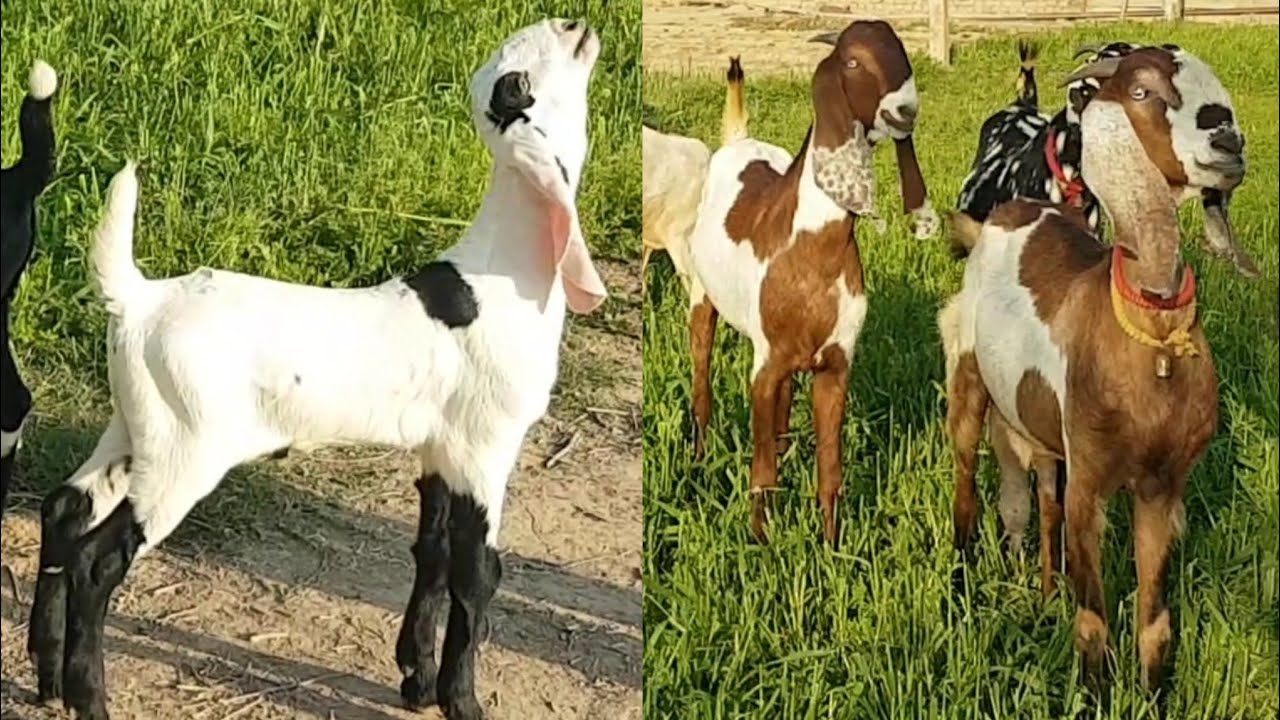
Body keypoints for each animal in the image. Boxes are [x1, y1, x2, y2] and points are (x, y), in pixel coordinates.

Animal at [26, 19, 606, 720]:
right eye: (516, 82)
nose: (571, 24)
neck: (501, 273)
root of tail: (139, 298)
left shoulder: (438, 448)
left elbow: (432, 555)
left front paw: (416, 681)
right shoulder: (483, 446)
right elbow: (477, 574)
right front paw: (462, 701)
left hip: (135, 427)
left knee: (63, 512)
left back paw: (47, 677)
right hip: (186, 449)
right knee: (97, 561)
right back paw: (90, 698)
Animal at [687, 20, 938, 545]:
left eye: (902, 53)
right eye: (853, 61)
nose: (906, 110)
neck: (812, 249)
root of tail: (740, 140)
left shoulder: (835, 366)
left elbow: (830, 470)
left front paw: (831, 545)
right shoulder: (764, 367)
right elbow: (760, 469)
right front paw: (761, 542)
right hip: (702, 301)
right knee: (701, 384)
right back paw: (698, 459)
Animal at [940, 46, 1232, 692]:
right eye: (1143, 91)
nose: (1228, 142)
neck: (1152, 347)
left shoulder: (1162, 484)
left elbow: (1155, 622)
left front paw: (1150, 695)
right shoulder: (1091, 480)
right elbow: (1094, 620)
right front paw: (1096, 695)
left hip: (1038, 426)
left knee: (1041, 502)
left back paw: (1045, 594)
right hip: (968, 377)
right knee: (967, 484)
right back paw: (960, 586)